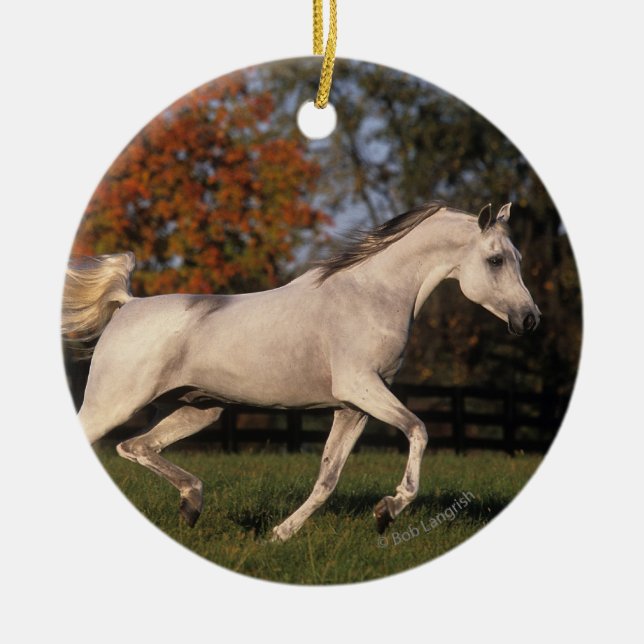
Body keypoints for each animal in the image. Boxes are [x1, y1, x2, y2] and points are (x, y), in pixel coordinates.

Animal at [62, 201, 540, 541]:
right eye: (496, 260)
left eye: (518, 256)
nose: (530, 319)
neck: (371, 295)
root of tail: (128, 304)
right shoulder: (362, 387)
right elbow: (419, 430)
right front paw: (390, 508)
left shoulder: (353, 407)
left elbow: (327, 478)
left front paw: (280, 535)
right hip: (114, 404)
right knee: (119, 443)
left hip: (200, 410)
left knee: (135, 447)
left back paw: (192, 504)